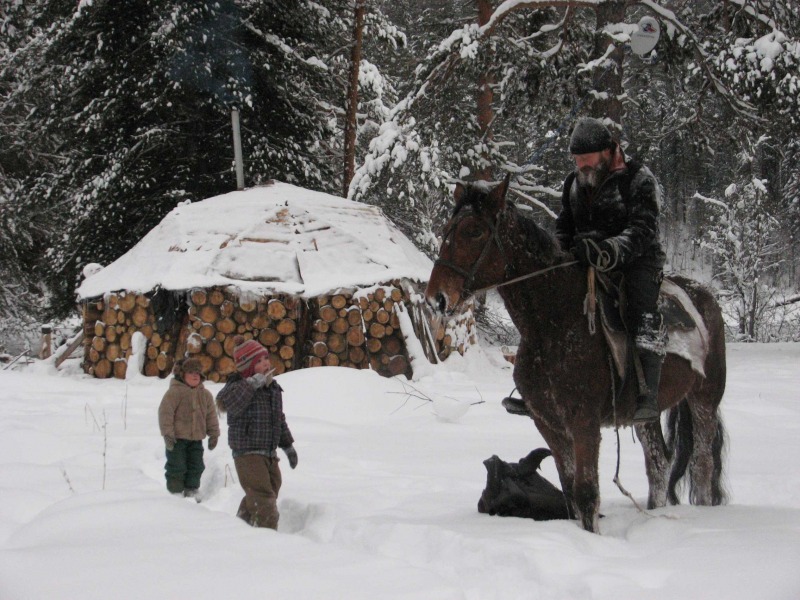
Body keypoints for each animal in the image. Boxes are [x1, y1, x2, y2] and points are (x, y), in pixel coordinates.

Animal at [424, 178, 732, 536]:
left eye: (474, 231)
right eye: (448, 230)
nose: (436, 298)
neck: (554, 322)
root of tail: (704, 295)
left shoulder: (583, 423)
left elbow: (586, 494)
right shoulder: (549, 423)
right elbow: (571, 491)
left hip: (704, 399)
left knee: (701, 463)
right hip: (646, 416)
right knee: (658, 463)